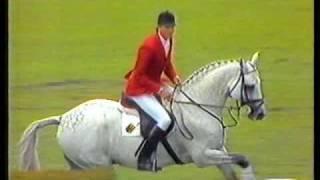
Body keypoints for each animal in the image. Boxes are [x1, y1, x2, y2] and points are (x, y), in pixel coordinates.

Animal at [18, 52, 266, 180]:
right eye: (251, 86)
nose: (260, 113)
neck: (197, 108)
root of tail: (64, 117)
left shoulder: (218, 151)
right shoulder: (203, 156)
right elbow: (244, 159)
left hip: (80, 166)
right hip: (96, 165)